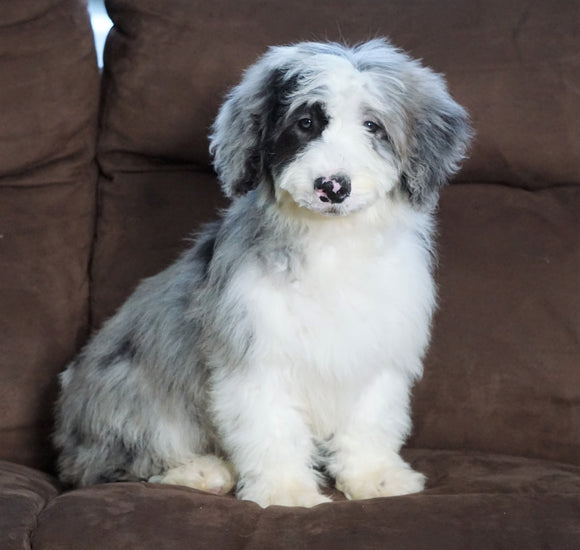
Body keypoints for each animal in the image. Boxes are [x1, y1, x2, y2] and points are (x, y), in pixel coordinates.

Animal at [53, 38, 472, 508]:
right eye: (306, 123)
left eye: (372, 125)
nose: (332, 186)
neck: (334, 244)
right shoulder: (258, 354)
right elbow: (272, 429)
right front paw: (287, 492)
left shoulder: (377, 353)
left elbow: (370, 421)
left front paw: (375, 477)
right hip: (130, 390)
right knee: (111, 464)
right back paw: (200, 471)